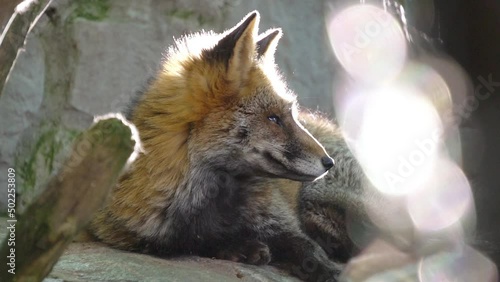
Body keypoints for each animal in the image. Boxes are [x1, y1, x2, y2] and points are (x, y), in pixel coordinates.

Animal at [89, 11, 344, 282]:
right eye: (273, 118)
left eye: (291, 115)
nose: (329, 162)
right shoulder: (121, 231)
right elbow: (194, 240)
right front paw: (239, 246)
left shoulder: (278, 220)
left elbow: (306, 246)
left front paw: (326, 268)